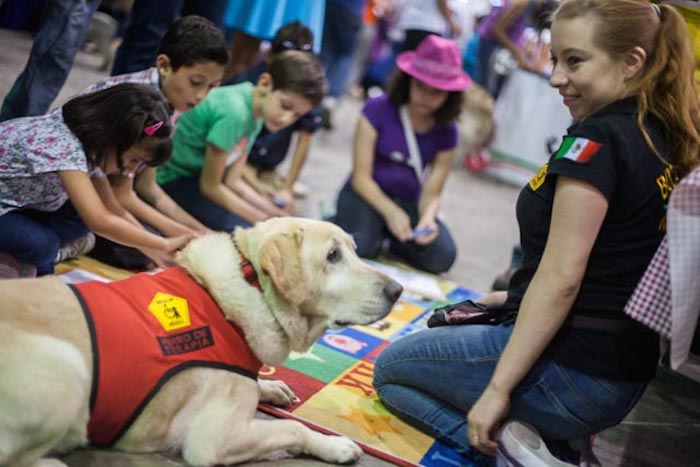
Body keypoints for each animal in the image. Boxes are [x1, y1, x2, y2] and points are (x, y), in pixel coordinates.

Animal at [0, 218, 402, 466]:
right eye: (332, 256)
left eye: (354, 250)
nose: (397, 290)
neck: (252, 282)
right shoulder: (214, 439)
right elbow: (293, 428)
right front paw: (335, 445)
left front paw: (271, 387)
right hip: (67, 365)